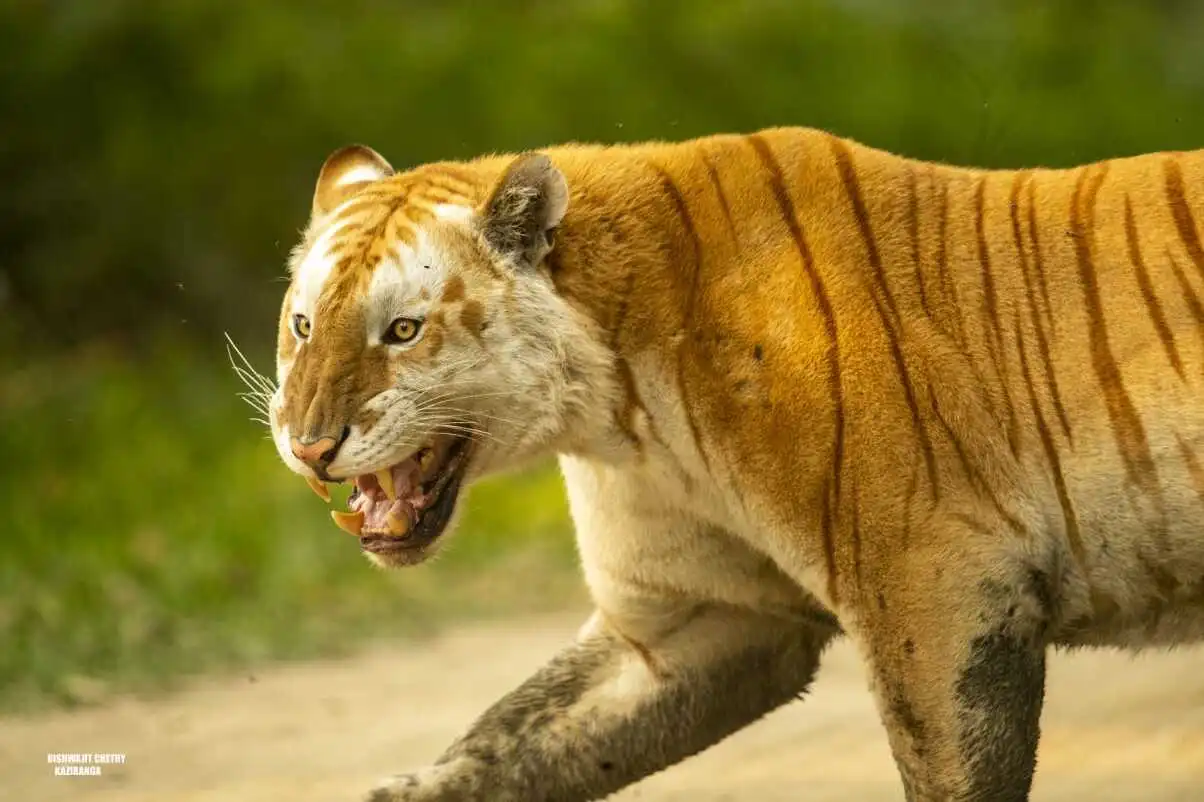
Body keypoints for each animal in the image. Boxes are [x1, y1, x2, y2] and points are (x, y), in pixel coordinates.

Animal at [263, 125, 1204, 801]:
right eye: (305, 325)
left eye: (402, 330)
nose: (307, 443)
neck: (618, 416)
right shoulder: (700, 619)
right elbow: (504, 743)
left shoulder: (940, 596)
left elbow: (948, 772)